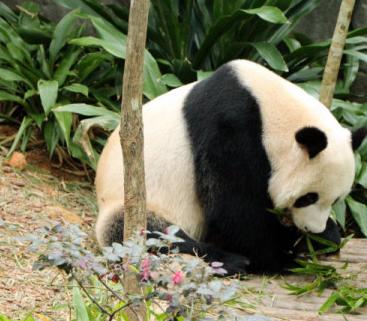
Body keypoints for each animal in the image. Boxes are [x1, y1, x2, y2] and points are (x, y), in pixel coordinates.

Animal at [94, 60, 366, 276]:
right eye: (308, 198)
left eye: (336, 200)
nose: (313, 228)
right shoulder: (230, 128)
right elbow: (233, 207)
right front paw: (278, 257)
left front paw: (322, 237)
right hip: (133, 202)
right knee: (143, 231)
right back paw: (229, 260)